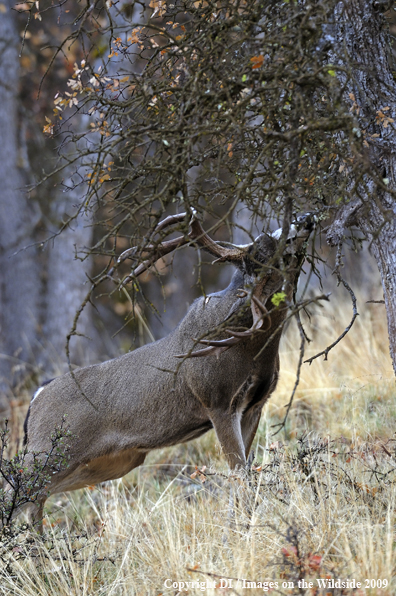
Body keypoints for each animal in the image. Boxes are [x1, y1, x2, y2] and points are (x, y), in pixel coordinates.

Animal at [18, 212, 314, 528]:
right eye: (262, 249)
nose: (305, 218)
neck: (252, 347)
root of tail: (37, 396)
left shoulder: (254, 405)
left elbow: (243, 473)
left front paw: (238, 526)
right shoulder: (217, 400)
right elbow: (238, 475)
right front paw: (239, 530)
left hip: (105, 463)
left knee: (36, 500)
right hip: (47, 452)